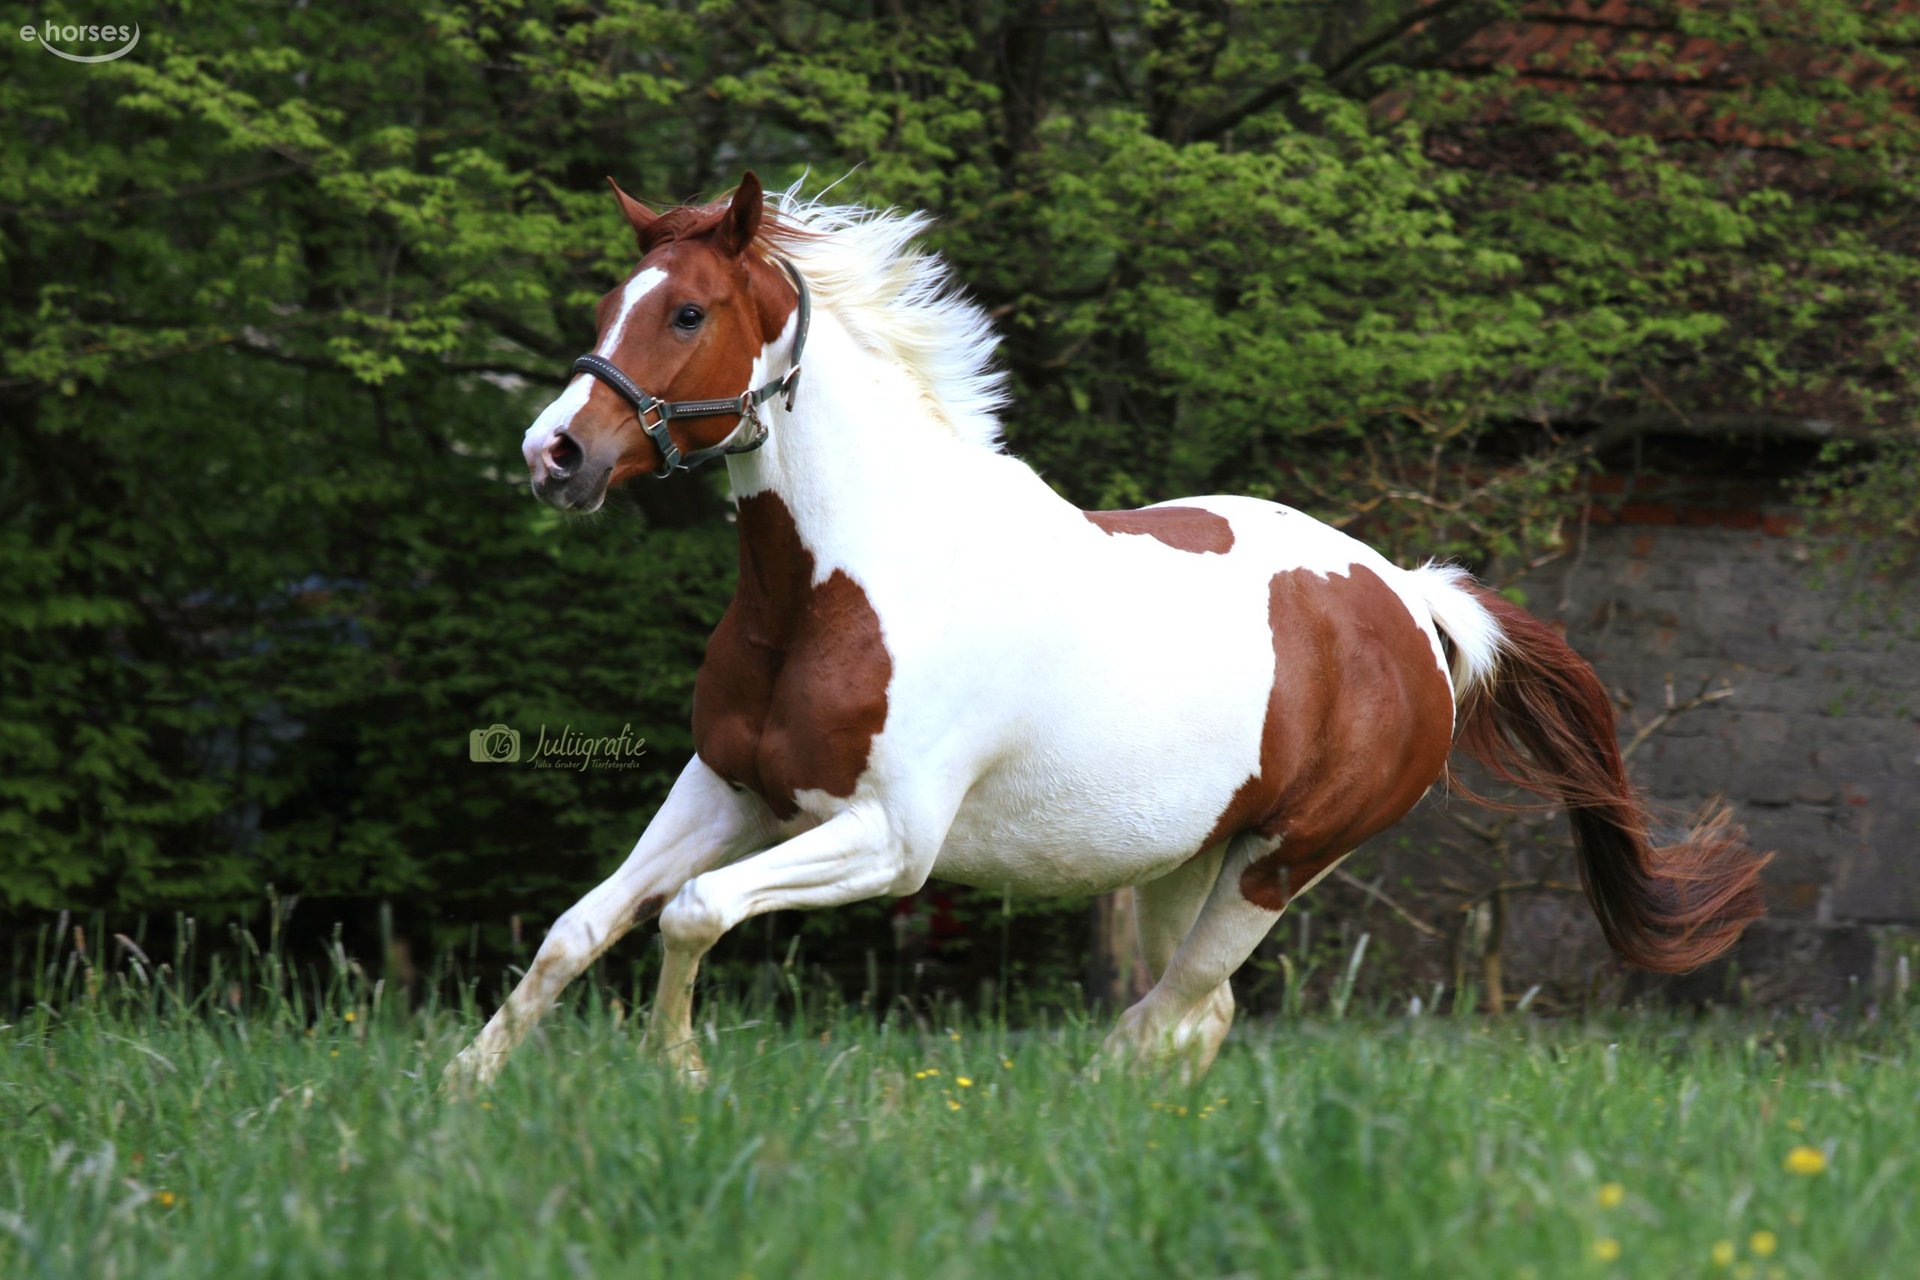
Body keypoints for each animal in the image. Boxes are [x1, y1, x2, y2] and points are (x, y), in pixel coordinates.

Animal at [446, 172, 1770, 1087]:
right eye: (608, 301)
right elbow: (580, 925)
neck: (846, 584)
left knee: (1166, 1015)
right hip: (1192, 861)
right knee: (1198, 1016)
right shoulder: (728, 790)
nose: (552, 455)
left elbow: (692, 913)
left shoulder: (890, 841)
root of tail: (1408, 597)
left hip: (1281, 862)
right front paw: (464, 1085)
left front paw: (679, 1071)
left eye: (686, 312)